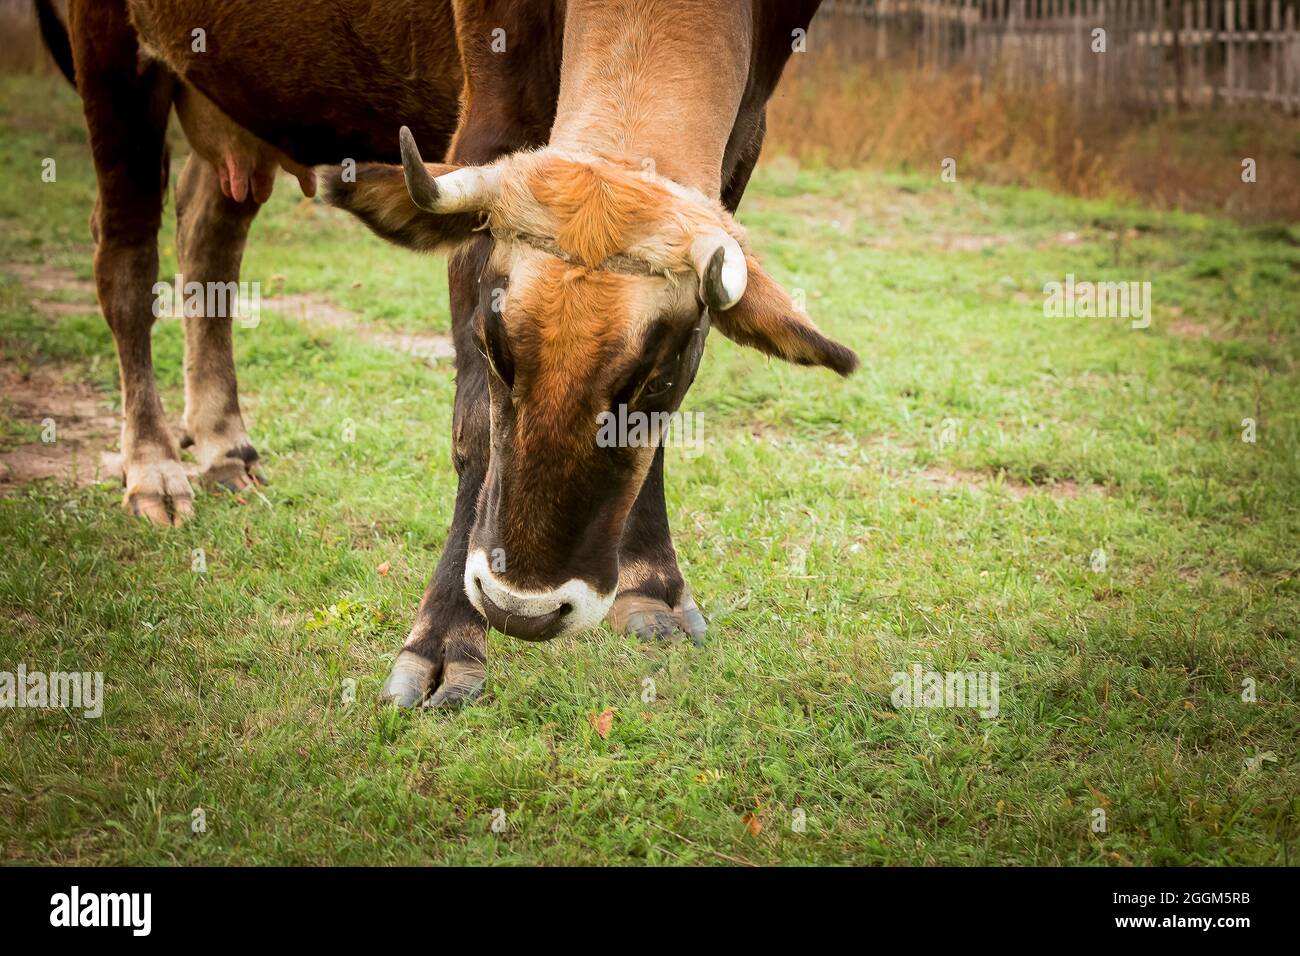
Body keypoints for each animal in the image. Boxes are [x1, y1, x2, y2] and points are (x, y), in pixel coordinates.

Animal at [43, 0, 852, 712]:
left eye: (657, 376)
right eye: (495, 348)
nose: (524, 609)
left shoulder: (739, 150)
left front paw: (652, 584)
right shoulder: (487, 130)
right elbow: (473, 430)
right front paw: (443, 647)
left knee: (209, 231)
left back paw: (221, 444)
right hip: (114, 62)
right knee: (125, 261)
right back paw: (153, 466)